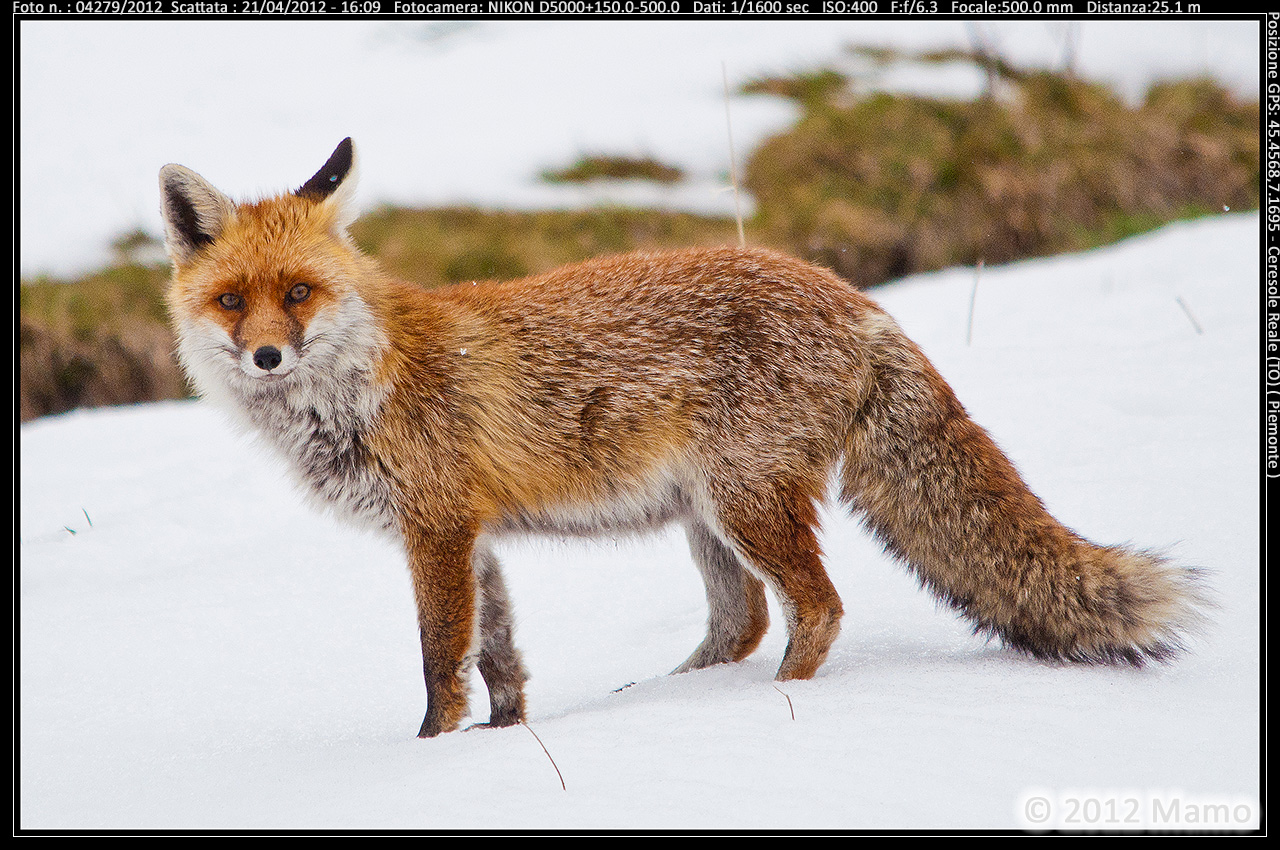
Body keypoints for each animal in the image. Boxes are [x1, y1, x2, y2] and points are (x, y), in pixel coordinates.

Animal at [159, 138, 1207, 738]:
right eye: (232, 300)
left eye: (299, 292)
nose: (265, 356)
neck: (363, 384)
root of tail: (856, 298)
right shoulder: (476, 536)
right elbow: (500, 661)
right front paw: (504, 746)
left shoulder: (437, 530)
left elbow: (438, 664)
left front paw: (430, 757)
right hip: (705, 515)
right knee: (740, 622)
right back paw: (664, 701)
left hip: (743, 502)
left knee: (817, 608)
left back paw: (772, 709)